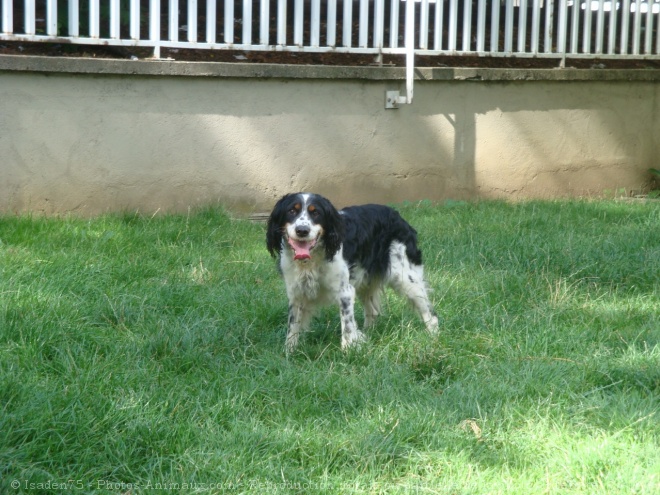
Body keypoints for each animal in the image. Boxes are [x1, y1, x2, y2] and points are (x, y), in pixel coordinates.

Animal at [262, 192, 438, 350]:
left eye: (316, 213)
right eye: (292, 211)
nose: (302, 230)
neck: (310, 261)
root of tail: (397, 215)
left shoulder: (345, 292)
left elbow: (347, 325)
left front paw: (347, 350)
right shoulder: (296, 292)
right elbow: (293, 325)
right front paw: (289, 352)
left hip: (406, 277)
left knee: (431, 314)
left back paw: (434, 338)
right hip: (366, 283)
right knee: (373, 312)